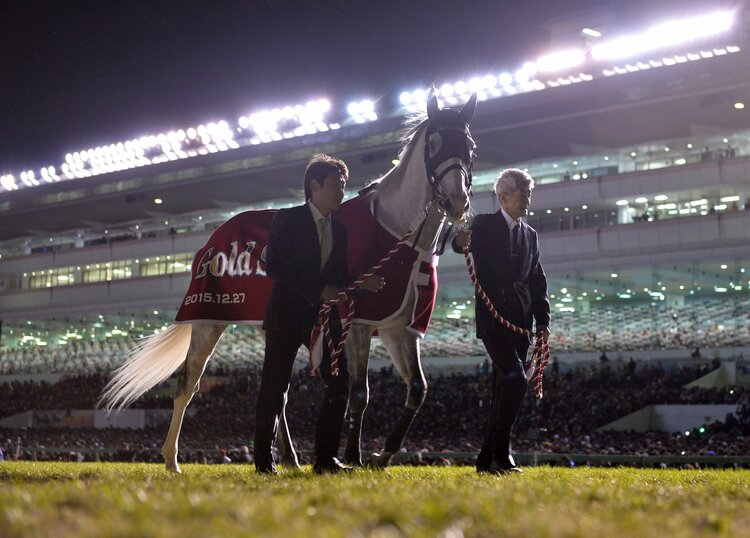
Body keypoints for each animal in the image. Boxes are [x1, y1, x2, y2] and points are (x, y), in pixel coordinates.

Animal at [100, 91, 478, 468]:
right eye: (434, 143)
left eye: (470, 146)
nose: (457, 201)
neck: (398, 234)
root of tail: (214, 236)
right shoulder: (358, 325)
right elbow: (359, 394)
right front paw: (353, 456)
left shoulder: (400, 330)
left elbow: (417, 389)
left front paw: (382, 454)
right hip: (209, 319)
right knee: (188, 384)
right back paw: (172, 459)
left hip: (272, 326)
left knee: (277, 391)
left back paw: (288, 457)